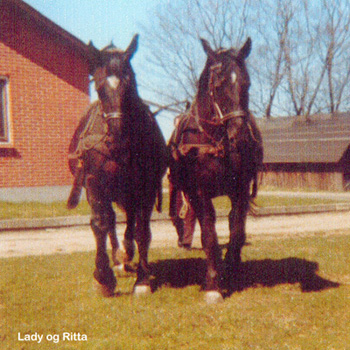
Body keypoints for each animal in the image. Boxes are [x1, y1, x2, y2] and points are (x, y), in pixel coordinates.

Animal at [68, 34, 168, 296]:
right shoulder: (94, 182)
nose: (118, 136)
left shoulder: (145, 188)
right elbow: (101, 223)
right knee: (110, 221)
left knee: (130, 221)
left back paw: (126, 252)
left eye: (130, 84)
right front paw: (103, 276)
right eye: (99, 88)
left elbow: (142, 230)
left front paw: (142, 279)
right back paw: (117, 257)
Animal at [169, 37, 262, 302]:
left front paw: (231, 269)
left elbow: (237, 231)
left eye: (246, 83)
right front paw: (213, 284)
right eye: (218, 85)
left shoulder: (240, 190)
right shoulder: (199, 193)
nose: (241, 136)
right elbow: (209, 236)